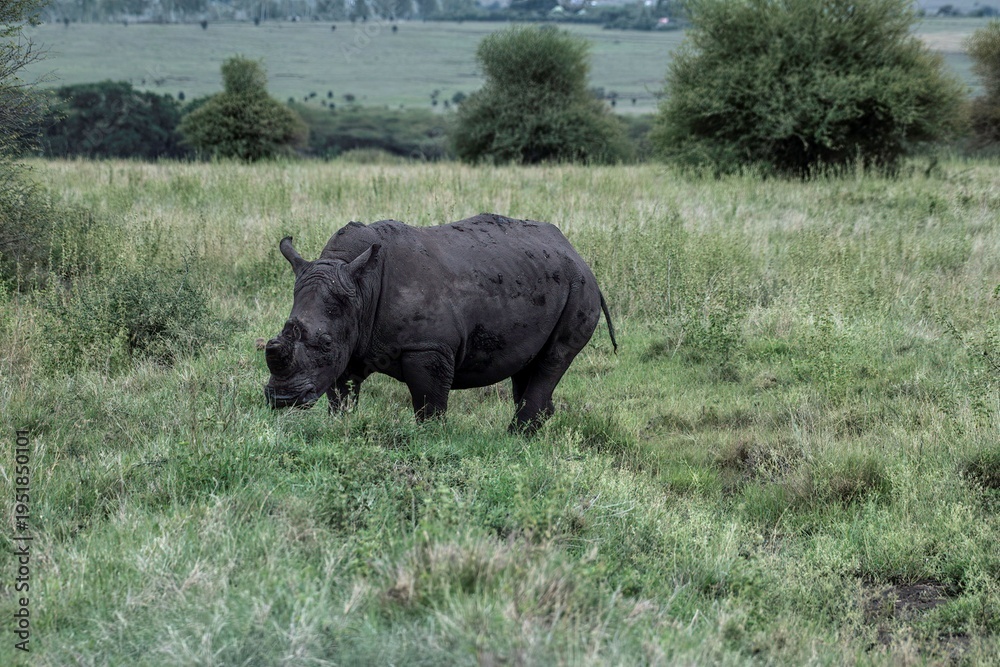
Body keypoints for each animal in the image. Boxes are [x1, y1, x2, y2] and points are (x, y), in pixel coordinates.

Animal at [264, 213, 617, 434]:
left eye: (324, 344)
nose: (281, 400)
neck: (361, 286)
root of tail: (576, 253)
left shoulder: (427, 348)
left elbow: (428, 404)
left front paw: (432, 440)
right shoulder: (350, 341)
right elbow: (342, 394)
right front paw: (341, 426)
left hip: (580, 287)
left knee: (553, 359)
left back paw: (516, 438)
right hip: (548, 281)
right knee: (528, 365)